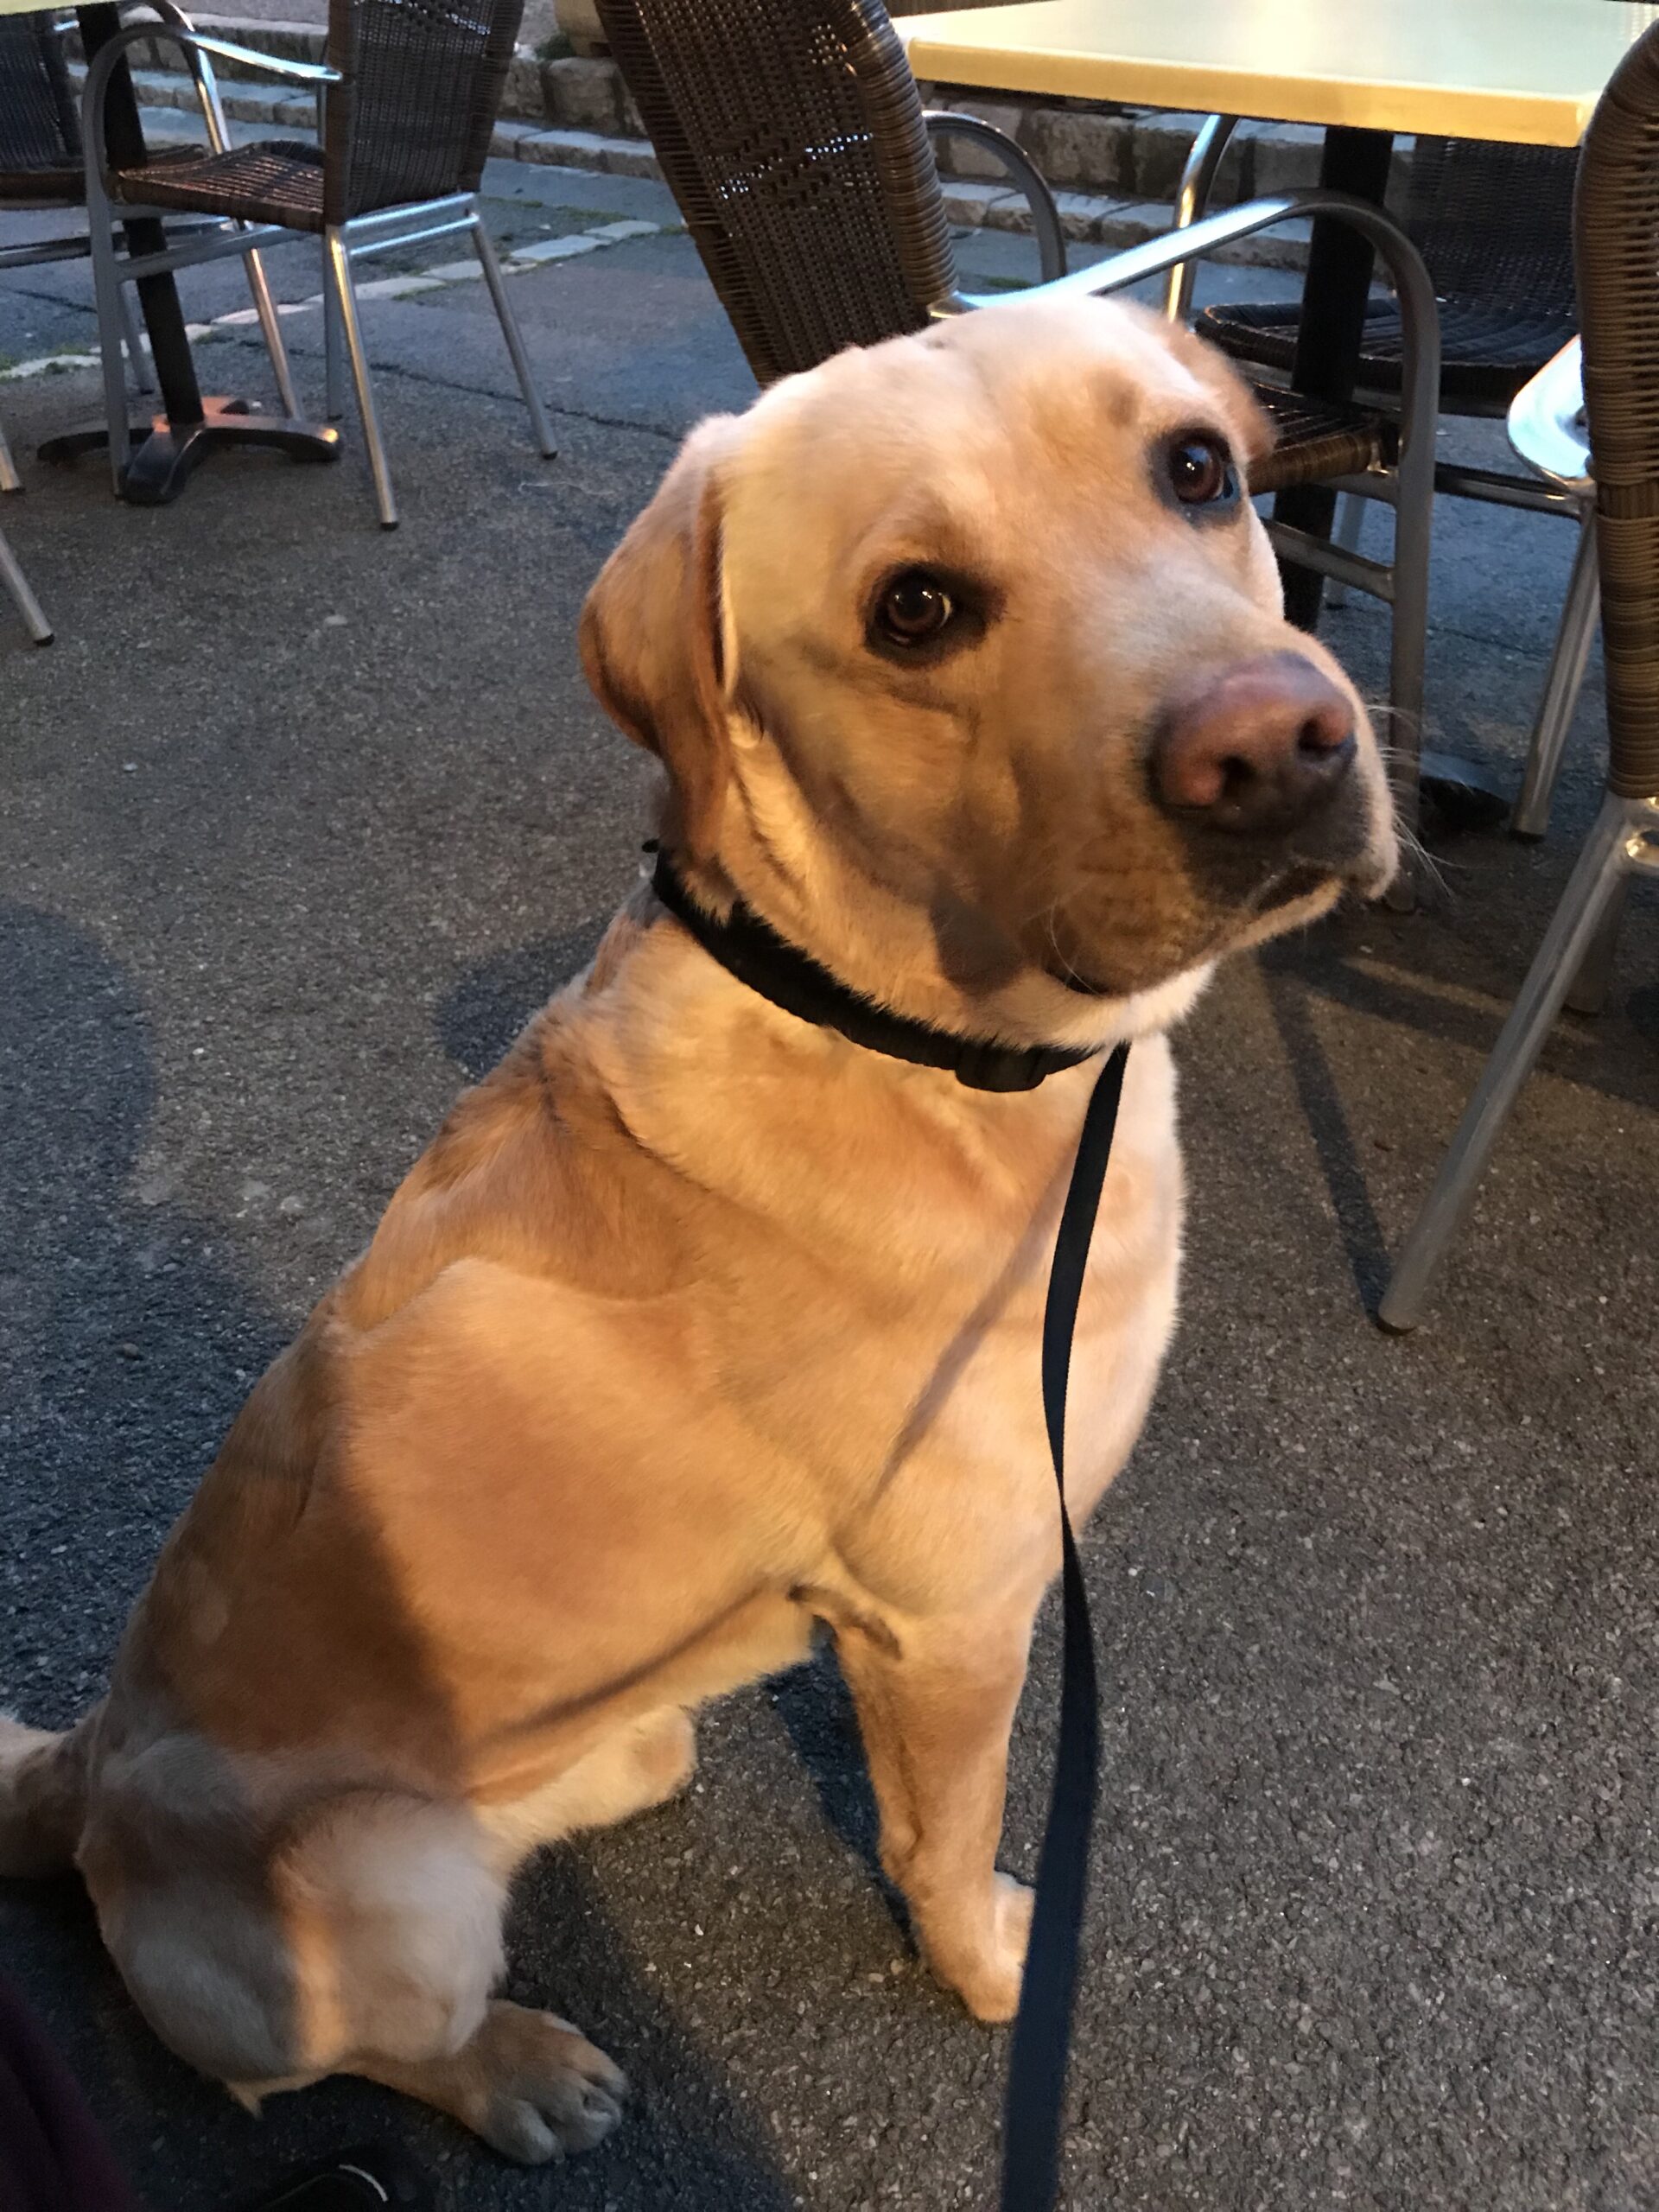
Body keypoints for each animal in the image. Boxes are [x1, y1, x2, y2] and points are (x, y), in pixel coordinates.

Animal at [0, 294, 1397, 2158]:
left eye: (1197, 468)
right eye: (915, 608)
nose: (1276, 747)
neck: (901, 1031)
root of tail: (78, 1770)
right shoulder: (956, 1624)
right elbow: (942, 1838)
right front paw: (991, 1969)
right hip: (381, 1894)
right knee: (336, 2048)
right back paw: (523, 2073)